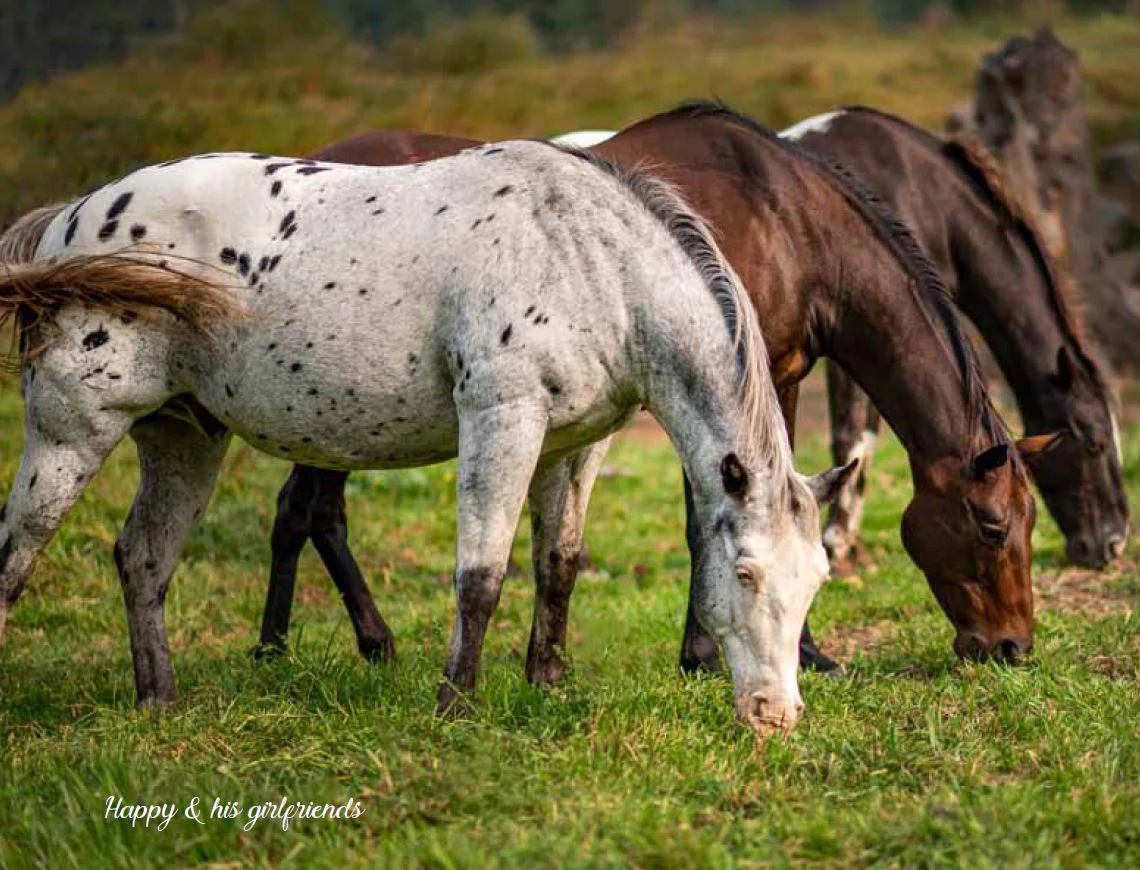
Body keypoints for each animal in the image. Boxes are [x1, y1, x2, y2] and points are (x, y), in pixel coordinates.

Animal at [0, 140, 856, 735]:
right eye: (744, 574)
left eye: (817, 577)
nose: (776, 716)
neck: (590, 260)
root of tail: (75, 218)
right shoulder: (502, 420)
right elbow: (482, 574)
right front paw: (456, 705)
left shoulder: (575, 445)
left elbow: (559, 563)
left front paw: (547, 681)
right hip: (71, 434)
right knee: (17, 555)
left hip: (185, 439)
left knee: (142, 558)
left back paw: (160, 701)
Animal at [253, 102, 1055, 677]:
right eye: (991, 526)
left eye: (1031, 521)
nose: (1012, 647)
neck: (791, 222)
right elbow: (719, 522)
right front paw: (731, 654)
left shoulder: (769, 381)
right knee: (308, 510)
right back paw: (312, 645)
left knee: (309, 511)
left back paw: (314, 645)